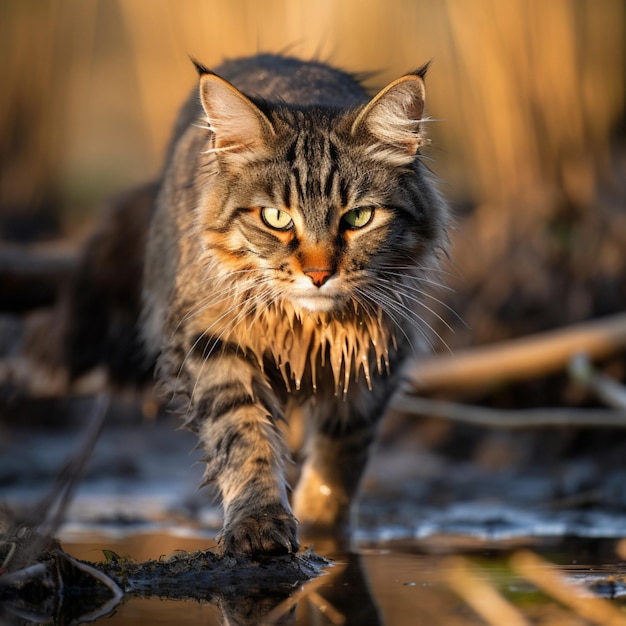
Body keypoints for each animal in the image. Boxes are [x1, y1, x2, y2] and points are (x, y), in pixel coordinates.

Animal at [139, 52, 446, 552]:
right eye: (276, 218)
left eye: (359, 218)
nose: (319, 274)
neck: (305, 326)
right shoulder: (210, 344)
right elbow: (244, 437)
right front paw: (258, 522)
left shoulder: (379, 352)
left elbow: (342, 452)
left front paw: (324, 526)